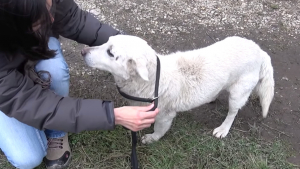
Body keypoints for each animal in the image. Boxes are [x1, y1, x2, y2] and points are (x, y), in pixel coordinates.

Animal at [81, 34, 274, 144]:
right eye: (105, 42)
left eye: (110, 53)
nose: (83, 51)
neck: (152, 80)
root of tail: (260, 51)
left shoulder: (165, 116)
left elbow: (159, 130)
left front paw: (152, 138)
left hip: (237, 94)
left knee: (232, 113)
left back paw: (223, 129)